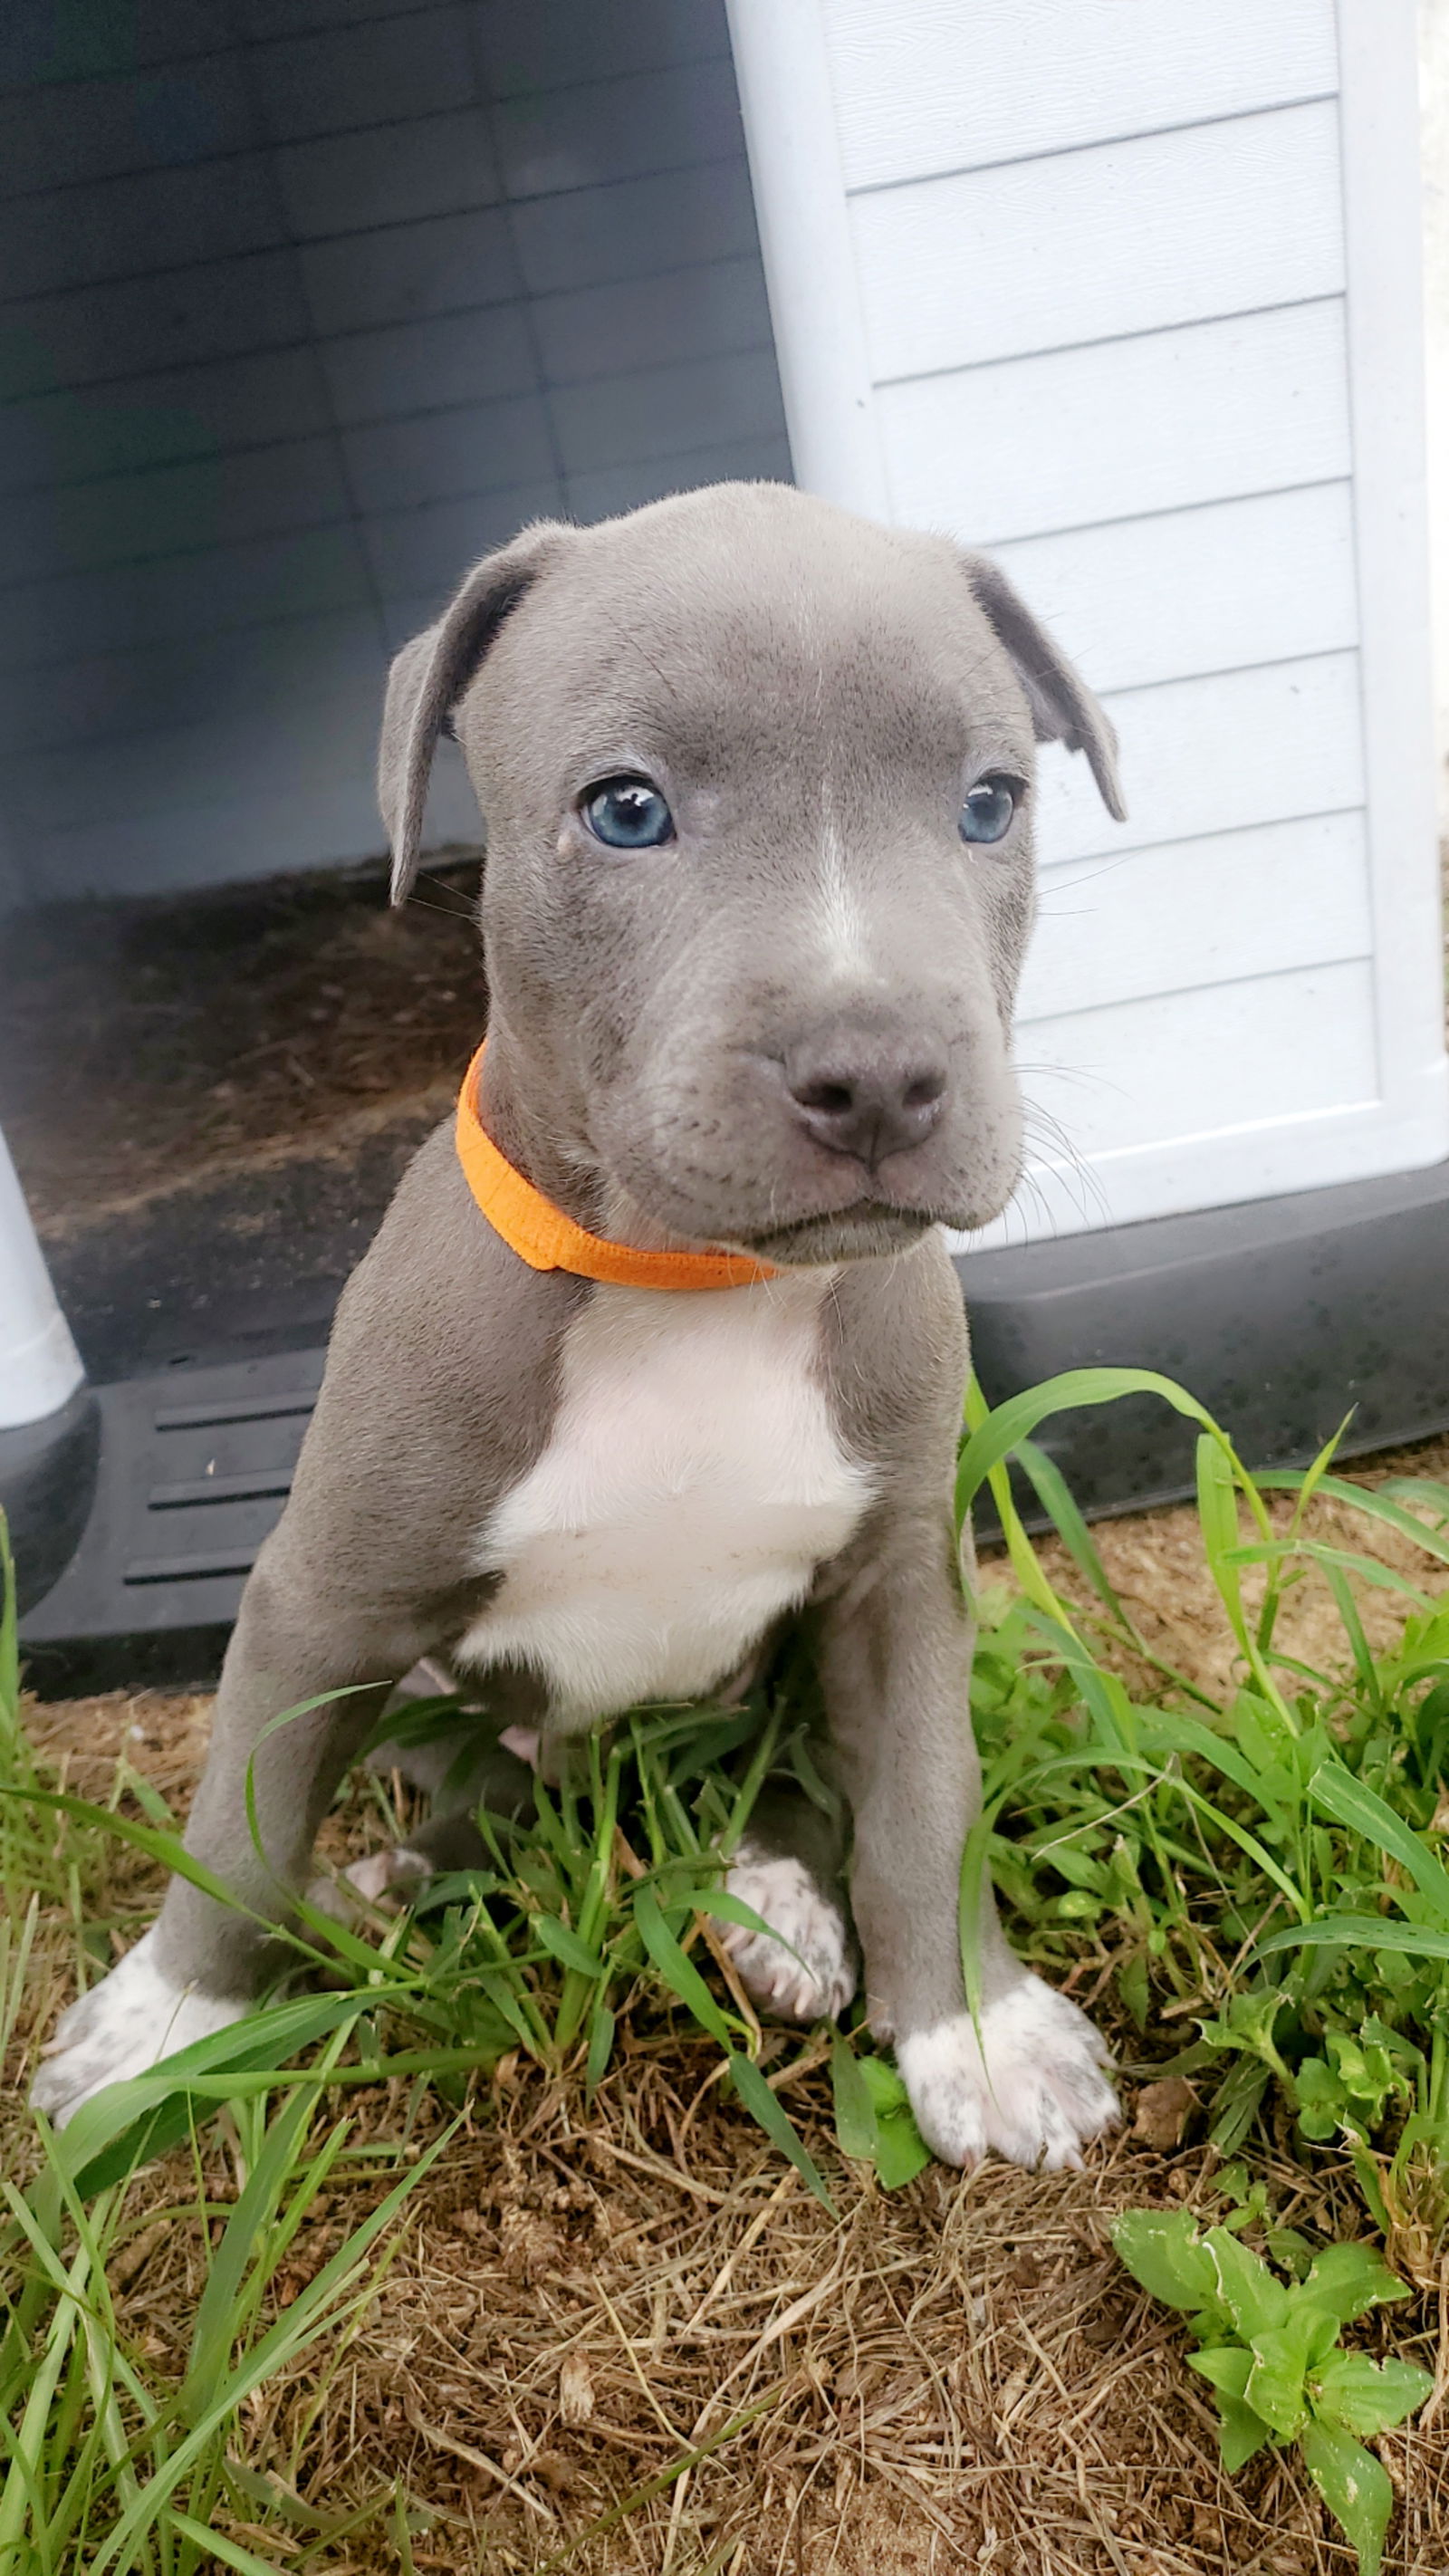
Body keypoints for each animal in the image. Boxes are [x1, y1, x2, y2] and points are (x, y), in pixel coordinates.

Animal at [31, 474, 1122, 2163]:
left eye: (991, 803)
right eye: (625, 810)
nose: (881, 1072)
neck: (695, 1291)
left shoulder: (898, 1582)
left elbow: (921, 1797)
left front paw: (978, 2031)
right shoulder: (318, 1598)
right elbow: (245, 1822)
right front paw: (163, 2022)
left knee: (785, 1779)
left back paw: (772, 1911)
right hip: (422, 1693)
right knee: (472, 1794)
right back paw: (399, 1885)